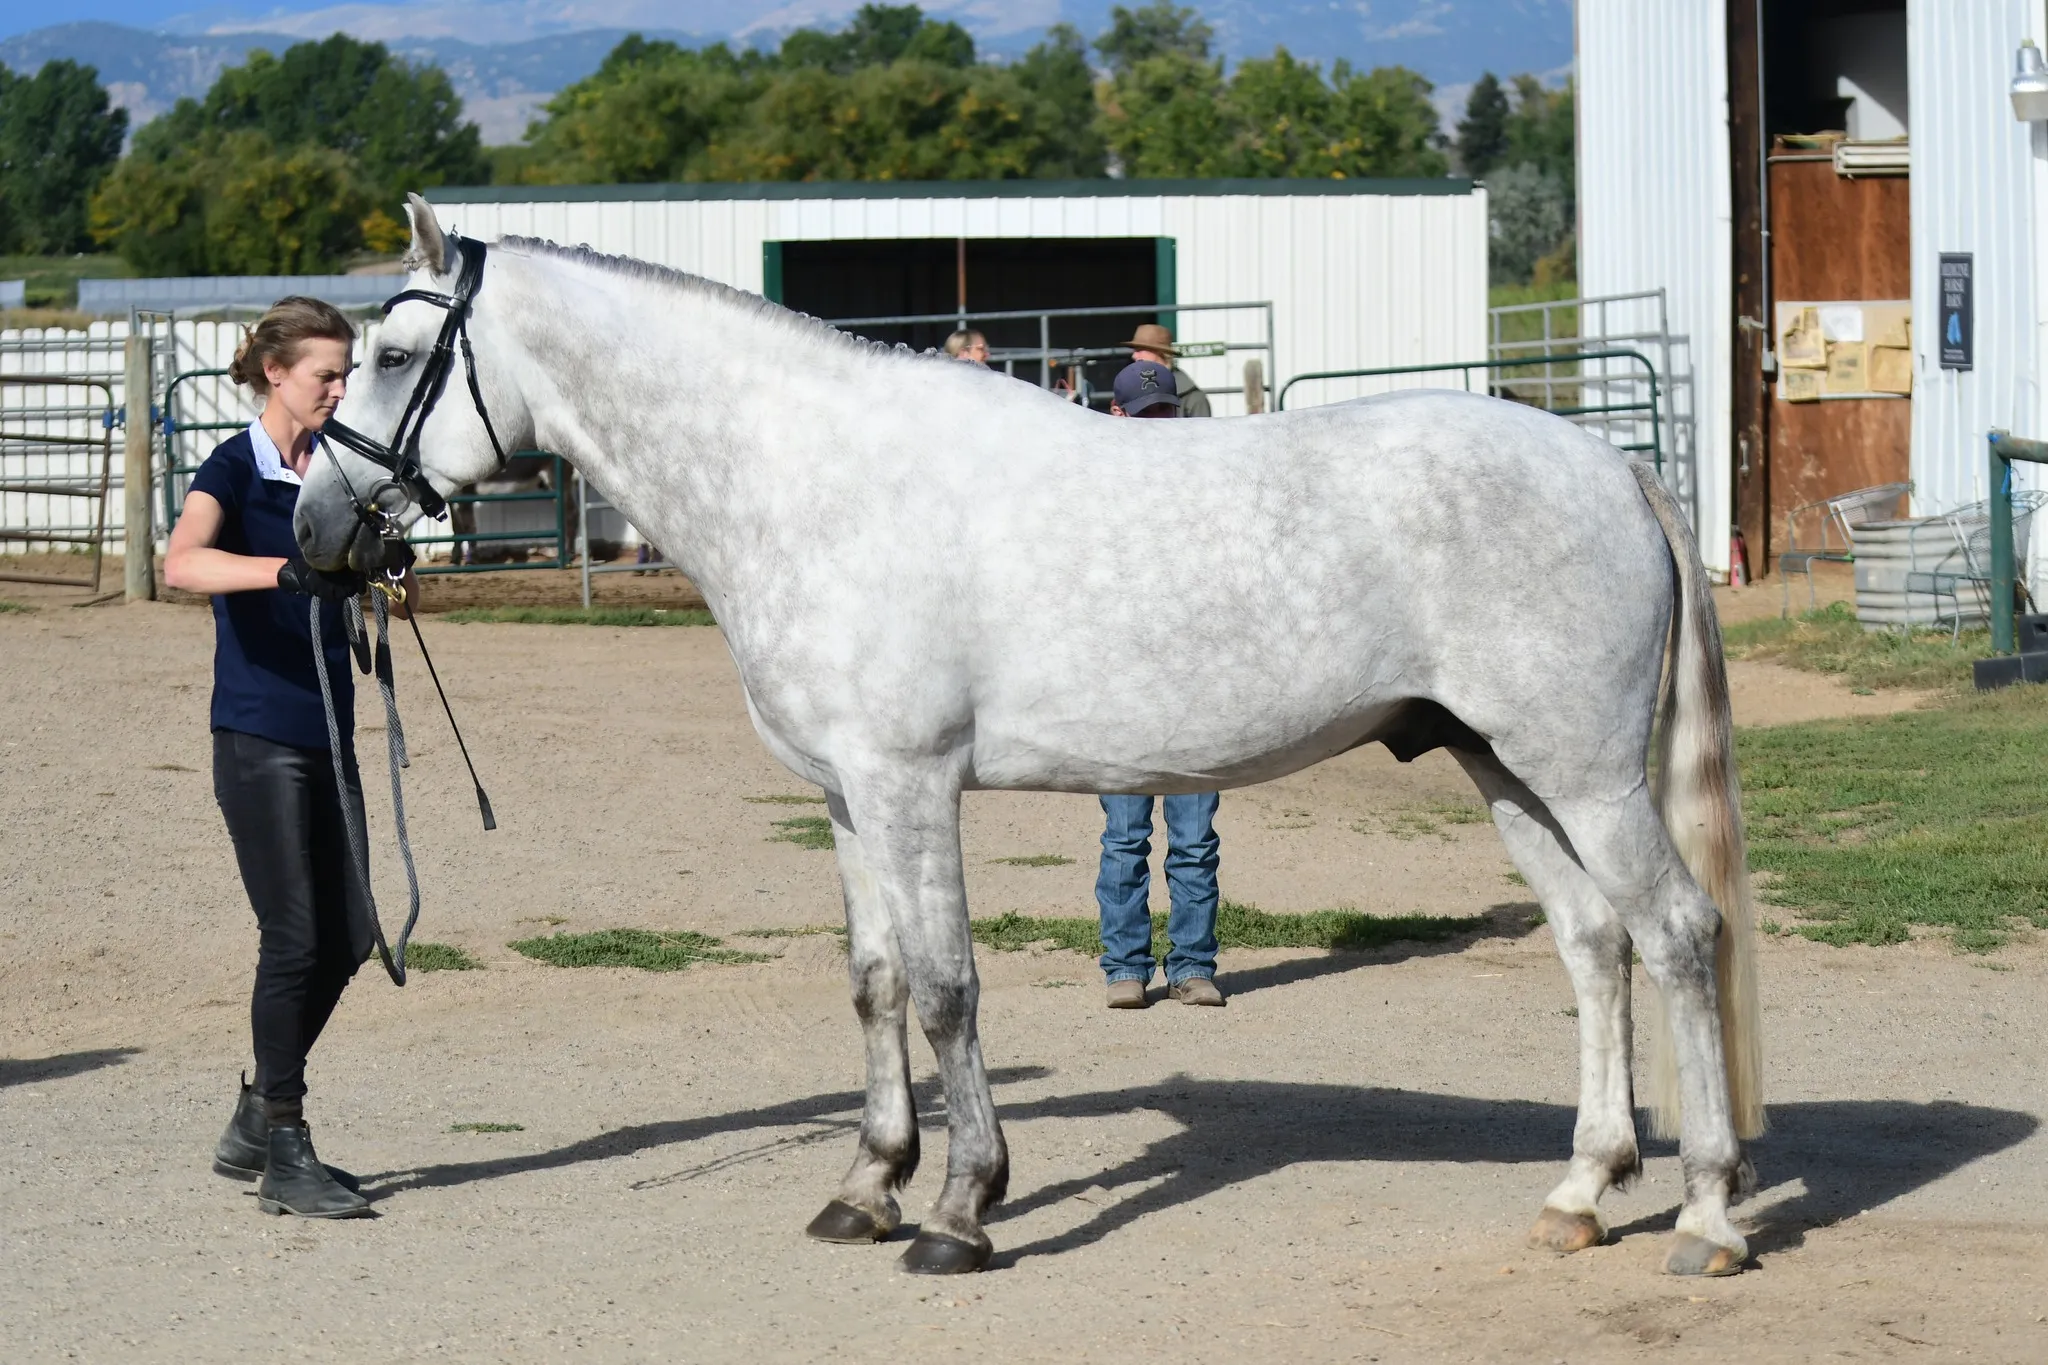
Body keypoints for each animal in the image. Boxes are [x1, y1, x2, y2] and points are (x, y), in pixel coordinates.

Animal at [294, 196, 1765, 1279]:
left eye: (390, 357)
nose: (315, 529)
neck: (816, 483)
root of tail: (1612, 464)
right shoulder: (848, 799)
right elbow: (876, 982)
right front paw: (866, 1187)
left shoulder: (910, 786)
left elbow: (948, 987)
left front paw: (959, 1210)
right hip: (1506, 768)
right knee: (1593, 945)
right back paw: (1582, 1192)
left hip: (1582, 773)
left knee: (1676, 935)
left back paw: (1705, 1214)